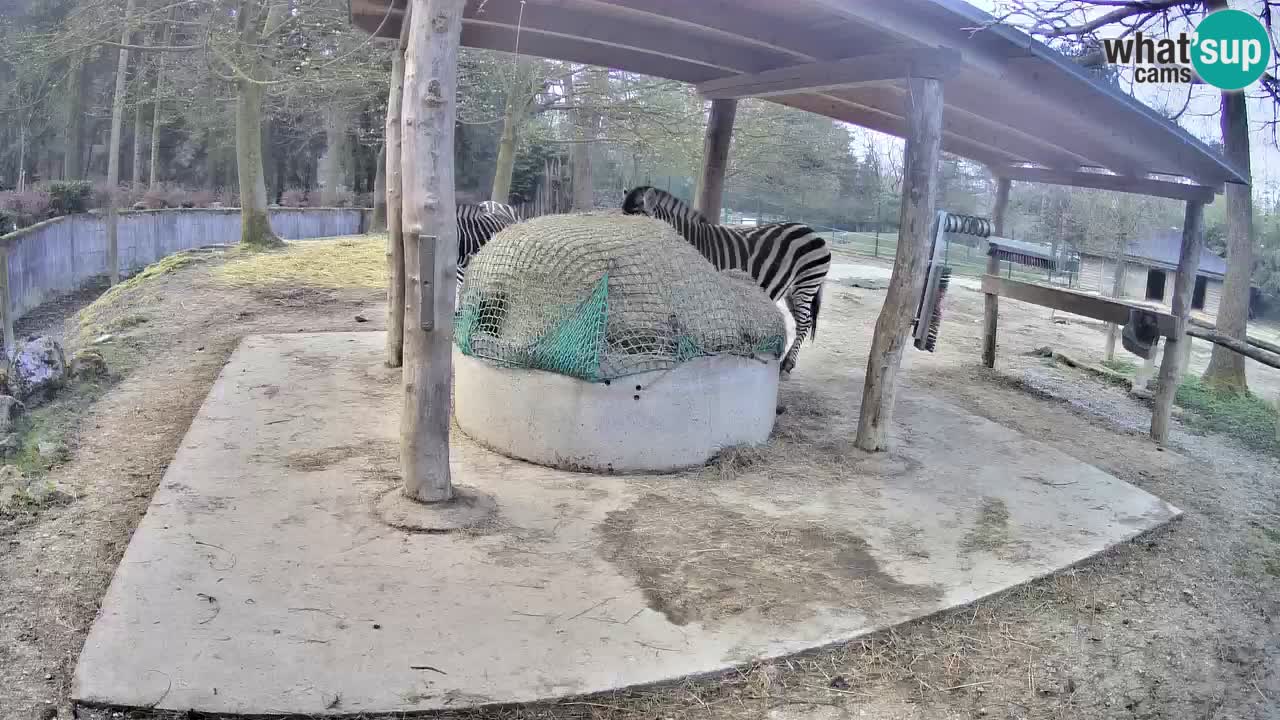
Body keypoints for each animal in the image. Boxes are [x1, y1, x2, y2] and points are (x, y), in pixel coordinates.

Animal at [622, 186, 829, 375]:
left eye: (636, 226)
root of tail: (811, 230)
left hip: (806, 283)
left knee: (804, 323)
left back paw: (787, 364)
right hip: (792, 291)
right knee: (803, 322)